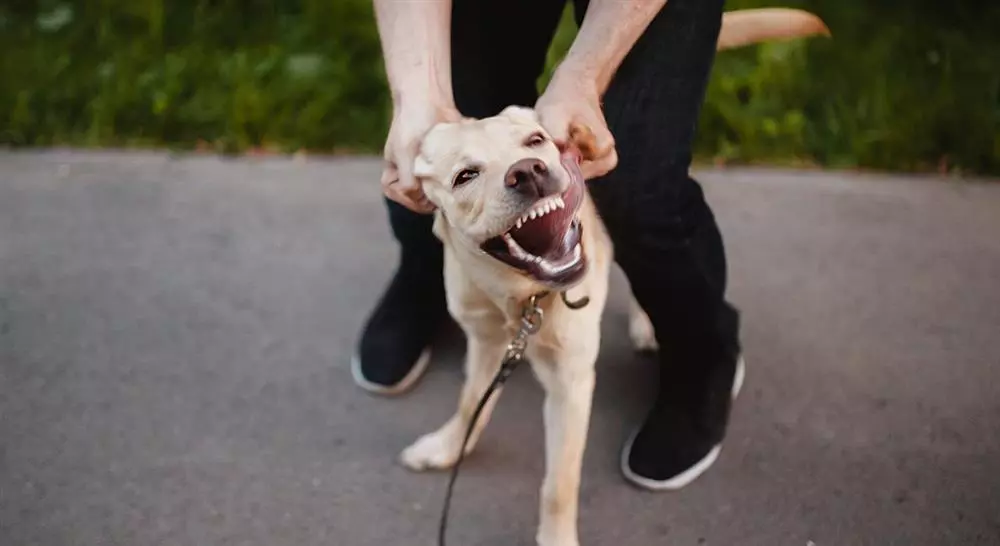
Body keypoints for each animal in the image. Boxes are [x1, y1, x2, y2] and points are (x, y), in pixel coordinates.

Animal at [394, 8, 824, 544]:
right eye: (465, 176)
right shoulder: (487, 343)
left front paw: (556, 538)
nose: (529, 171)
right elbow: (472, 402)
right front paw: (447, 447)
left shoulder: (571, 382)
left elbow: (558, 483)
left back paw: (648, 325)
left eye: (535, 141)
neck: (519, 299)